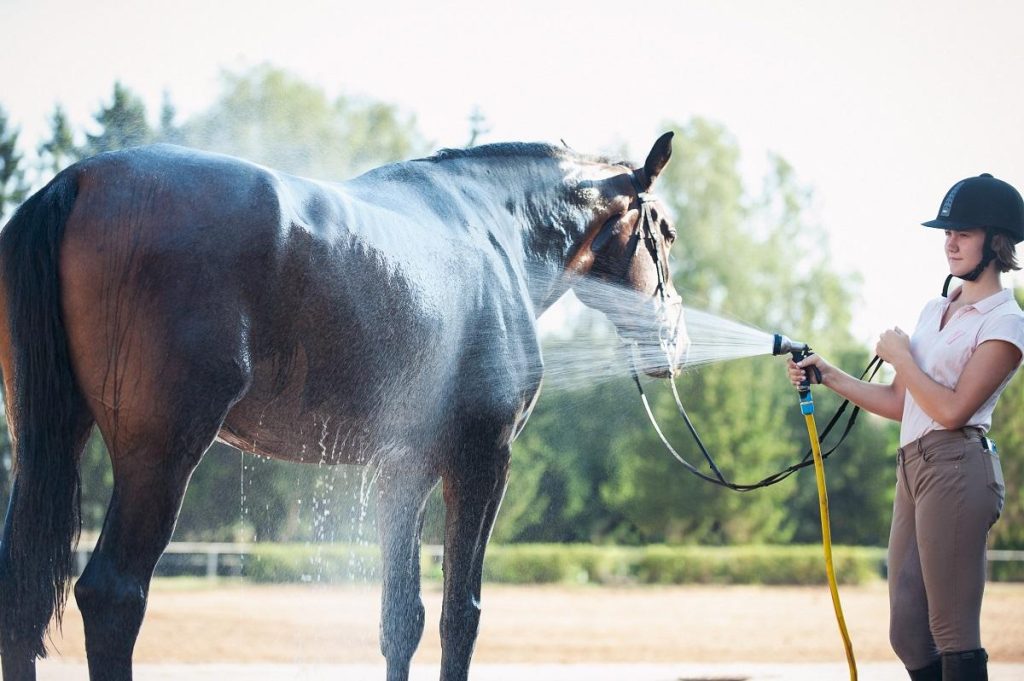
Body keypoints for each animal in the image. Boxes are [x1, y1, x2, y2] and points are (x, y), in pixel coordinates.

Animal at [2, 130, 688, 675]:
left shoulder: (403, 471)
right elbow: (459, 616)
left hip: (44, 440)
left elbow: (402, 619)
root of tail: (78, 181)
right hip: (160, 456)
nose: (677, 341)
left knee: (24, 592)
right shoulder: (481, 462)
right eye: (667, 234)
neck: (497, 234)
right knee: (113, 595)